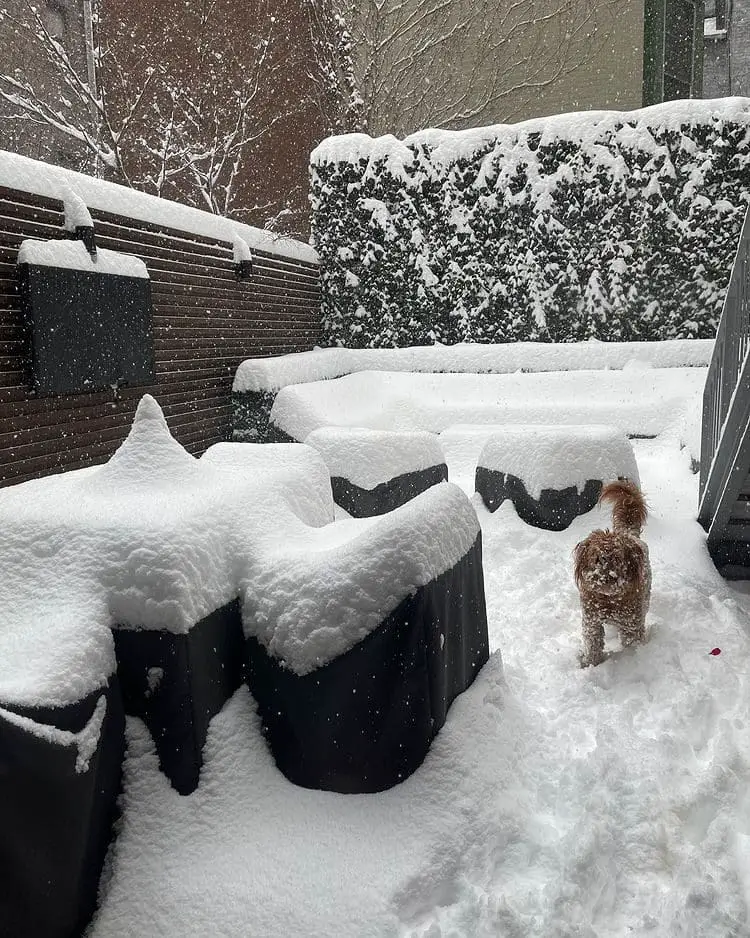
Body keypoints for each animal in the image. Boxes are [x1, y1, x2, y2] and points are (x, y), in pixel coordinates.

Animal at [576, 482, 652, 664]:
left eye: (618, 559)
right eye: (597, 558)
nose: (605, 578)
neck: (608, 600)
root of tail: (628, 532)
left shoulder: (631, 624)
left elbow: (631, 641)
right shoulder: (591, 622)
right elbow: (593, 644)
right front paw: (591, 663)